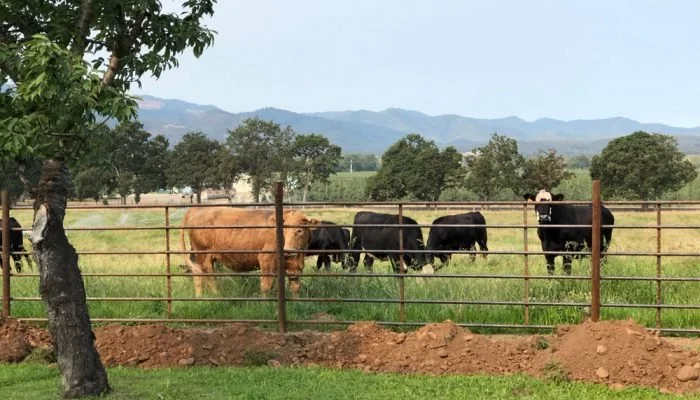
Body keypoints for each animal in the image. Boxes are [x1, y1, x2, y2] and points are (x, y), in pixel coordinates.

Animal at [180, 207, 319, 297]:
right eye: (283, 230)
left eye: (300, 230)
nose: (288, 250)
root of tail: (198, 209)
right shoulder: (266, 259)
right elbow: (266, 285)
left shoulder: (294, 266)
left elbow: (295, 287)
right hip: (203, 255)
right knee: (208, 276)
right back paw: (215, 296)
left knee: (198, 274)